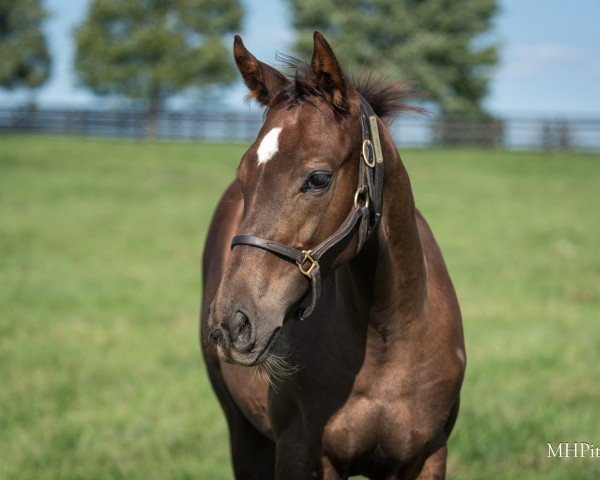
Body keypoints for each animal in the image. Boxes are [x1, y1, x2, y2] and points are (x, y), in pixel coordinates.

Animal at [200, 31, 464, 478]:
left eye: (318, 178)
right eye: (244, 176)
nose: (233, 322)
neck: (386, 338)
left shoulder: (429, 456)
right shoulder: (301, 453)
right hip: (243, 433)